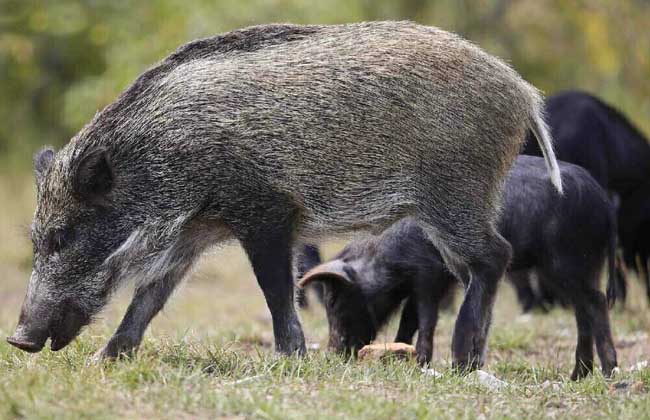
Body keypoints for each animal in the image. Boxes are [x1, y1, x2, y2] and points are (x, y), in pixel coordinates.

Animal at [7, 22, 561, 371]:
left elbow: (275, 287)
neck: (165, 156)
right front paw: (105, 360)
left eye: (63, 236)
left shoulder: (266, 211)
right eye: (37, 239)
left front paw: (289, 359)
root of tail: (523, 92)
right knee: (475, 268)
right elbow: (151, 296)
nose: (17, 339)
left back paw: (463, 361)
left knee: (495, 255)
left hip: (455, 195)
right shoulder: (194, 232)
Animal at [300, 156, 618, 380]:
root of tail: (604, 201)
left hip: (568, 262)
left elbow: (426, 318)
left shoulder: (429, 276)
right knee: (582, 312)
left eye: (334, 300)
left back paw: (608, 372)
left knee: (596, 301)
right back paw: (577, 376)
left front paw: (422, 361)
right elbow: (409, 320)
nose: (332, 353)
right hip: (581, 267)